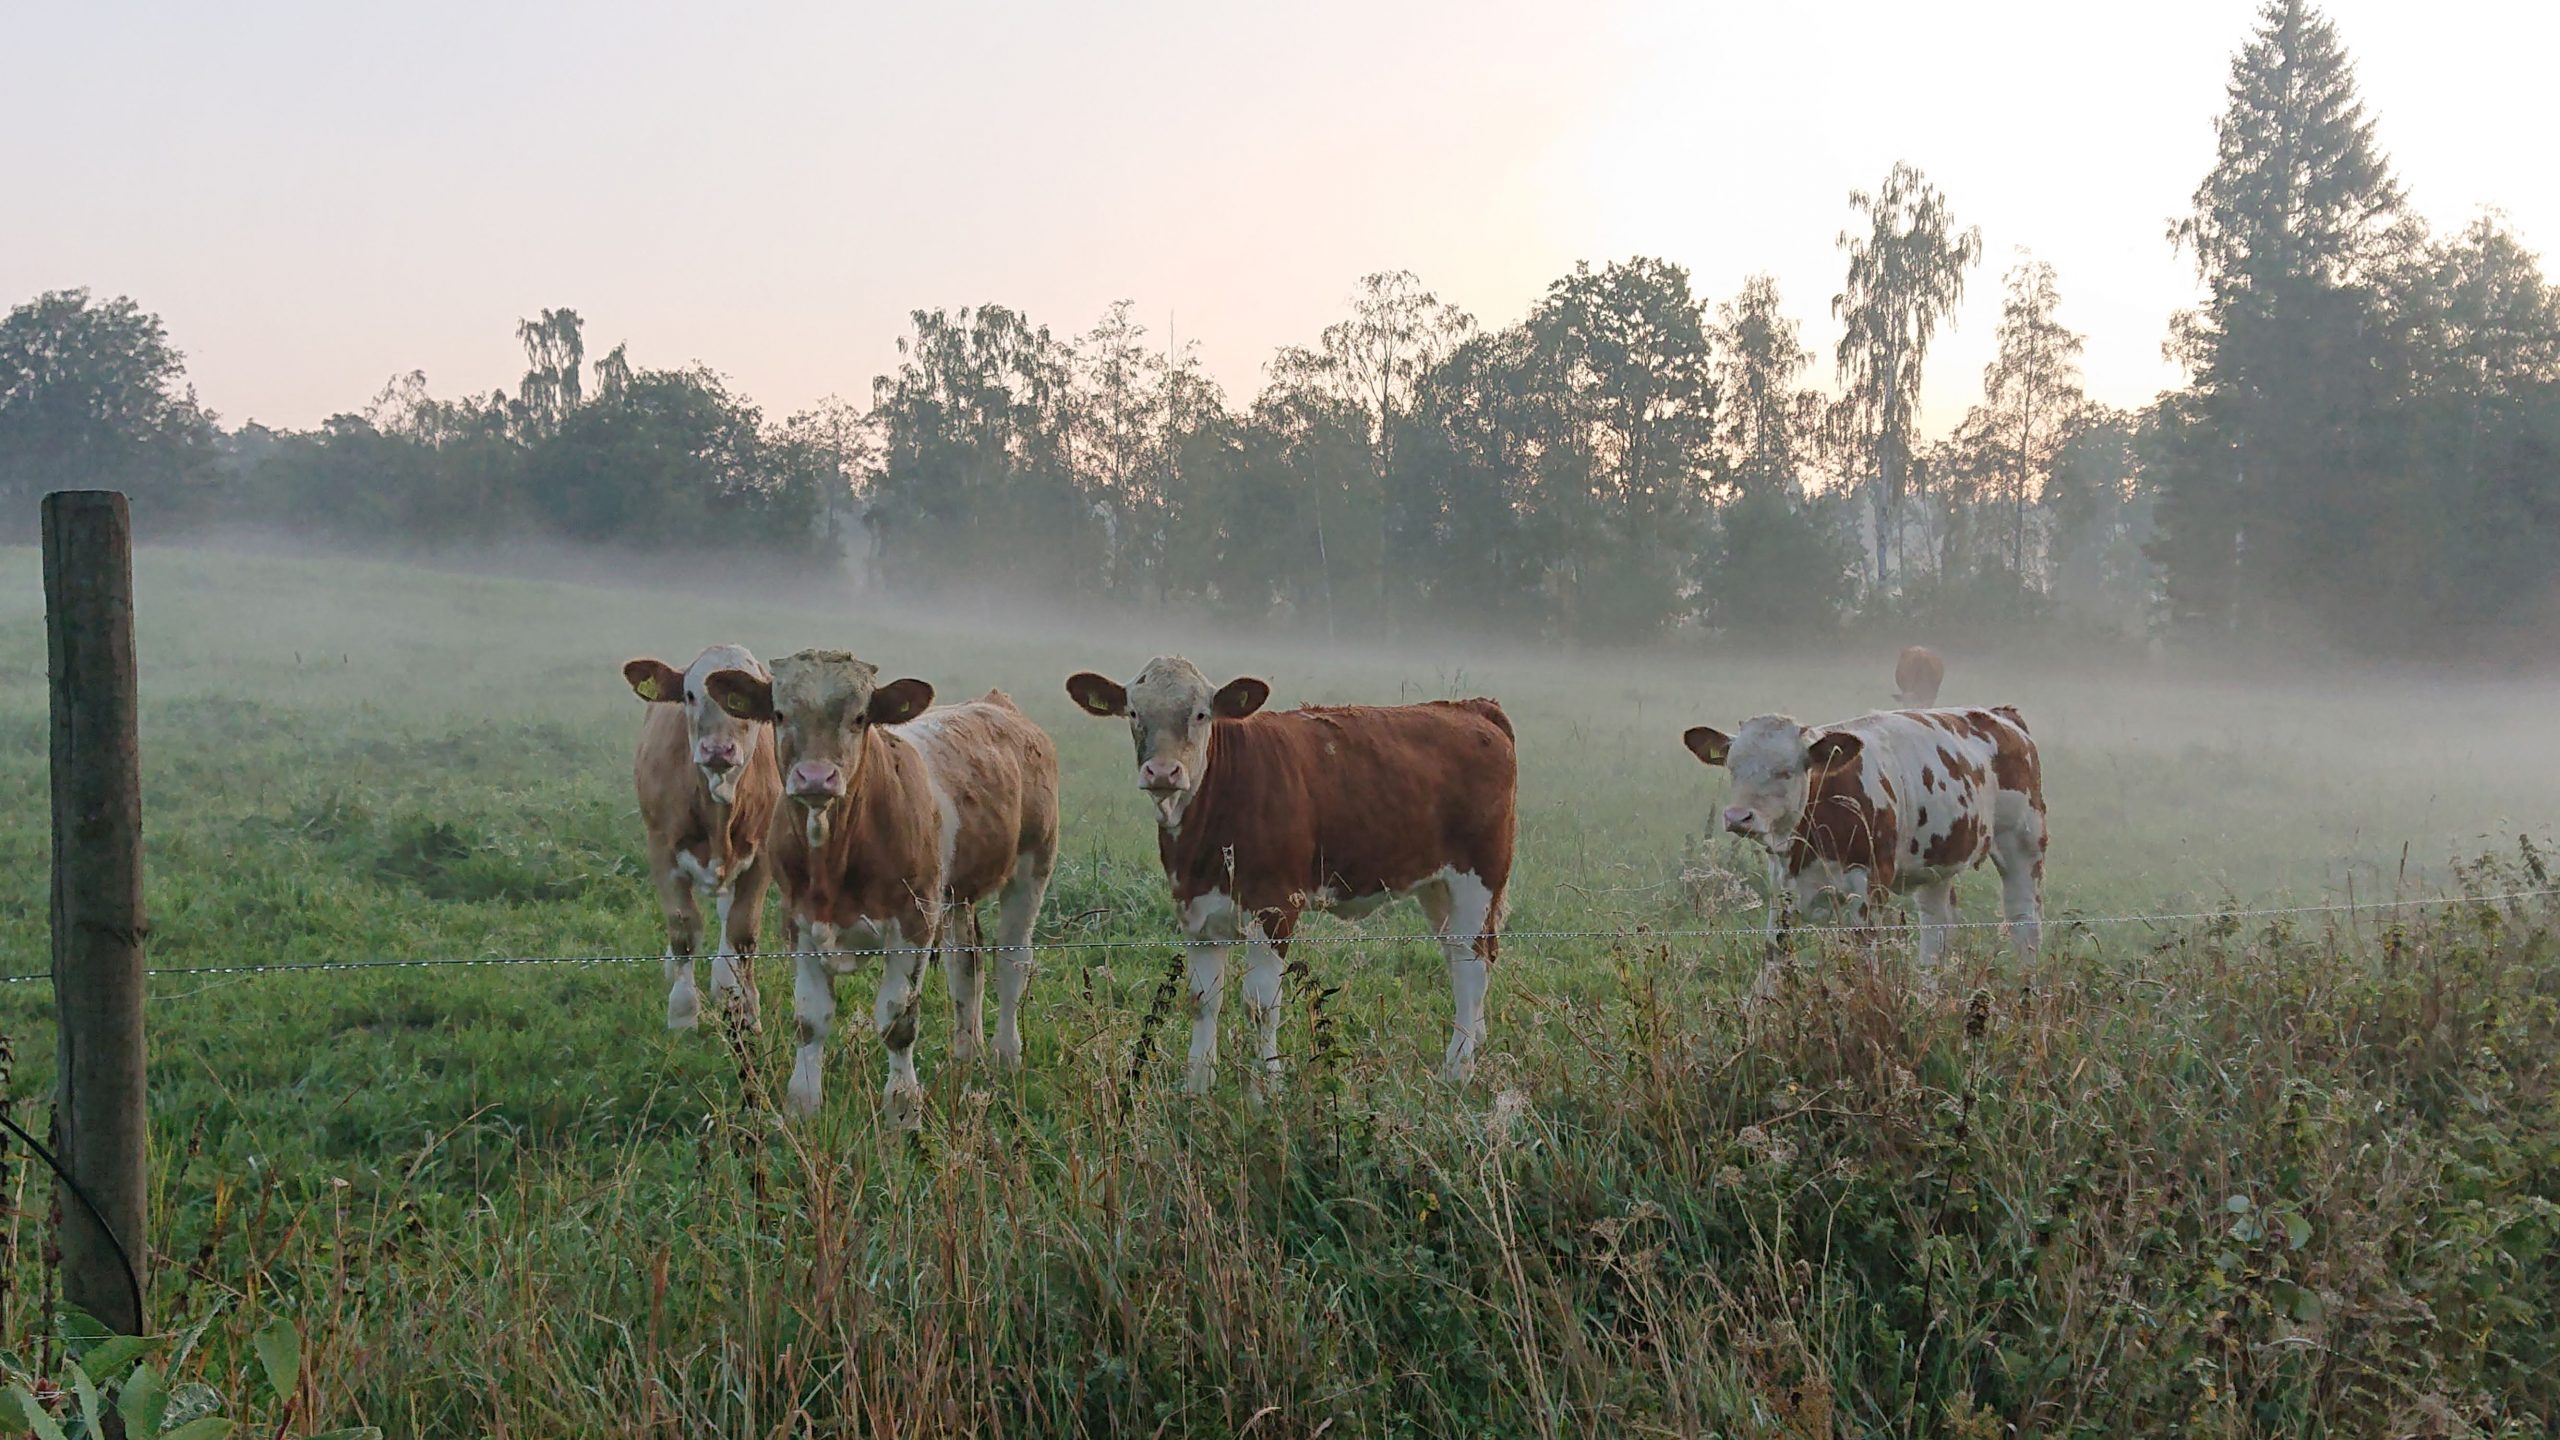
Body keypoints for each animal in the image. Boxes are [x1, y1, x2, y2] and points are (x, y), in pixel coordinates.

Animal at [622, 645, 773, 1024]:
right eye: (690, 695)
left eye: (746, 703)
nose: (717, 750)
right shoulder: (661, 847)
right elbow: (683, 927)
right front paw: (683, 1012)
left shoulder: (763, 854)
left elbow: (742, 931)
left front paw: (745, 1006)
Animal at [701, 648, 1059, 1122]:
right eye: (778, 713)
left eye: (860, 717)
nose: (816, 777)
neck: (833, 860)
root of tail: (997, 704)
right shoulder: (798, 920)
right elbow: (810, 1019)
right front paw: (803, 1104)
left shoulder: (913, 920)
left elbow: (897, 1023)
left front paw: (903, 1108)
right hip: (955, 892)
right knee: (966, 965)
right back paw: (967, 1054)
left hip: (1032, 865)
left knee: (1012, 960)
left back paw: (1005, 1055)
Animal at [1064, 655, 1515, 1081]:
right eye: (1134, 713)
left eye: (1201, 714)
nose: (1162, 772)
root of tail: (1472, 707)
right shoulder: (1195, 913)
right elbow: (1203, 1001)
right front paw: (1198, 1087)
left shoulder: (1275, 906)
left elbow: (1261, 1005)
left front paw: (1267, 1087)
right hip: (1438, 887)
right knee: (1457, 956)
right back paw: (1472, 1042)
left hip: (1478, 879)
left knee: (1473, 964)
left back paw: (1457, 1069)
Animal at [1689, 702, 2048, 963]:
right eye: (1732, 768)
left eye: (1786, 772)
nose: (1738, 816)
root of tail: (2001, 714)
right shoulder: (1782, 889)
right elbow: (1772, 960)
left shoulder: (1869, 886)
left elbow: (1865, 962)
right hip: (1936, 862)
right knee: (1937, 927)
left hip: (2024, 844)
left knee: (2025, 924)